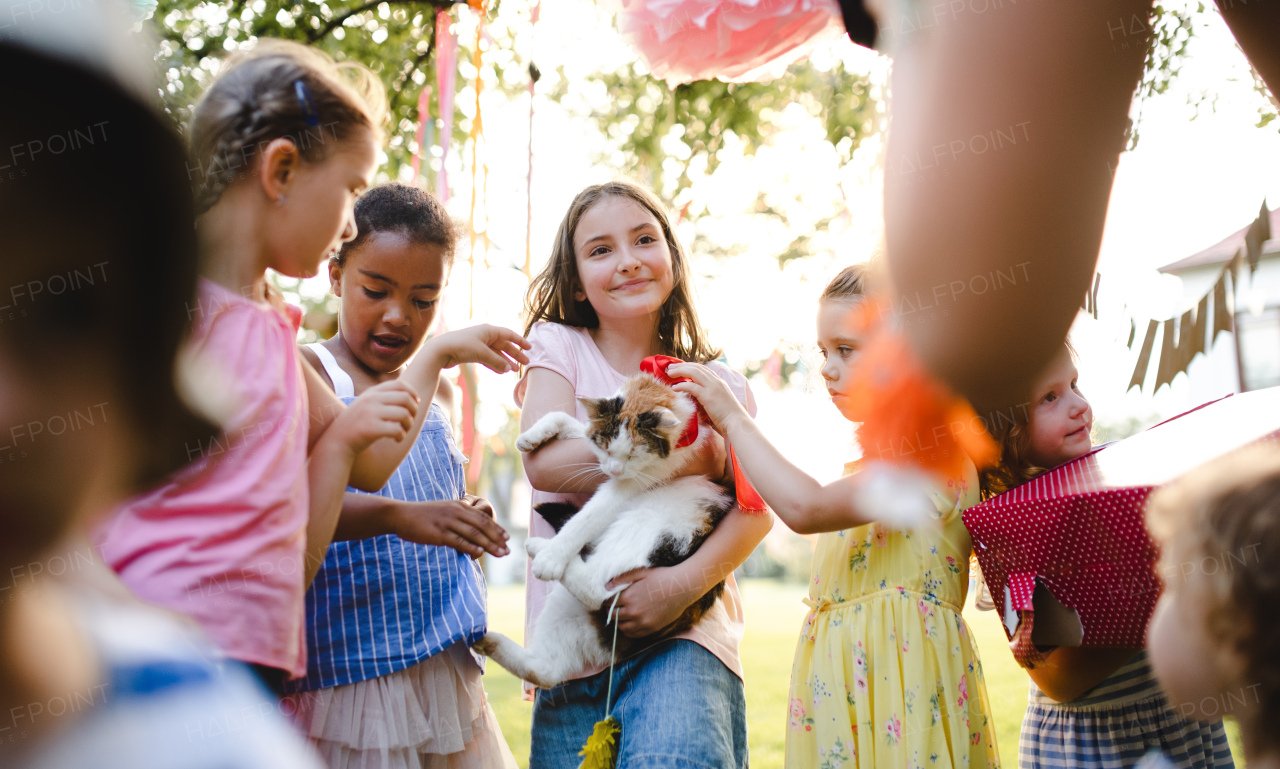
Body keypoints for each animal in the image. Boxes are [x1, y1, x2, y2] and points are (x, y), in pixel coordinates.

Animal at [468, 368, 732, 685]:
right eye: (606, 446)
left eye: (635, 453)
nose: (613, 470)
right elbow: (571, 422)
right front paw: (531, 437)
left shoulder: (641, 478)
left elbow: (589, 516)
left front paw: (554, 555)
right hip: (565, 608)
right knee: (544, 670)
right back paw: (490, 642)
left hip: (655, 523)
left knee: (595, 589)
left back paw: (541, 549)